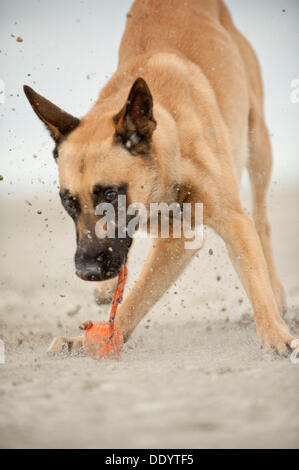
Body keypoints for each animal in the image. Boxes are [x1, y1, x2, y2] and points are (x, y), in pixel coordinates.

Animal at [24, 0, 298, 352]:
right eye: (68, 202)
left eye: (111, 195)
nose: (86, 271)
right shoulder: (170, 236)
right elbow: (138, 291)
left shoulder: (220, 224)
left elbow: (248, 275)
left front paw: (275, 335)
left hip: (258, 142)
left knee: (261, 222)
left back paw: (275, 289)